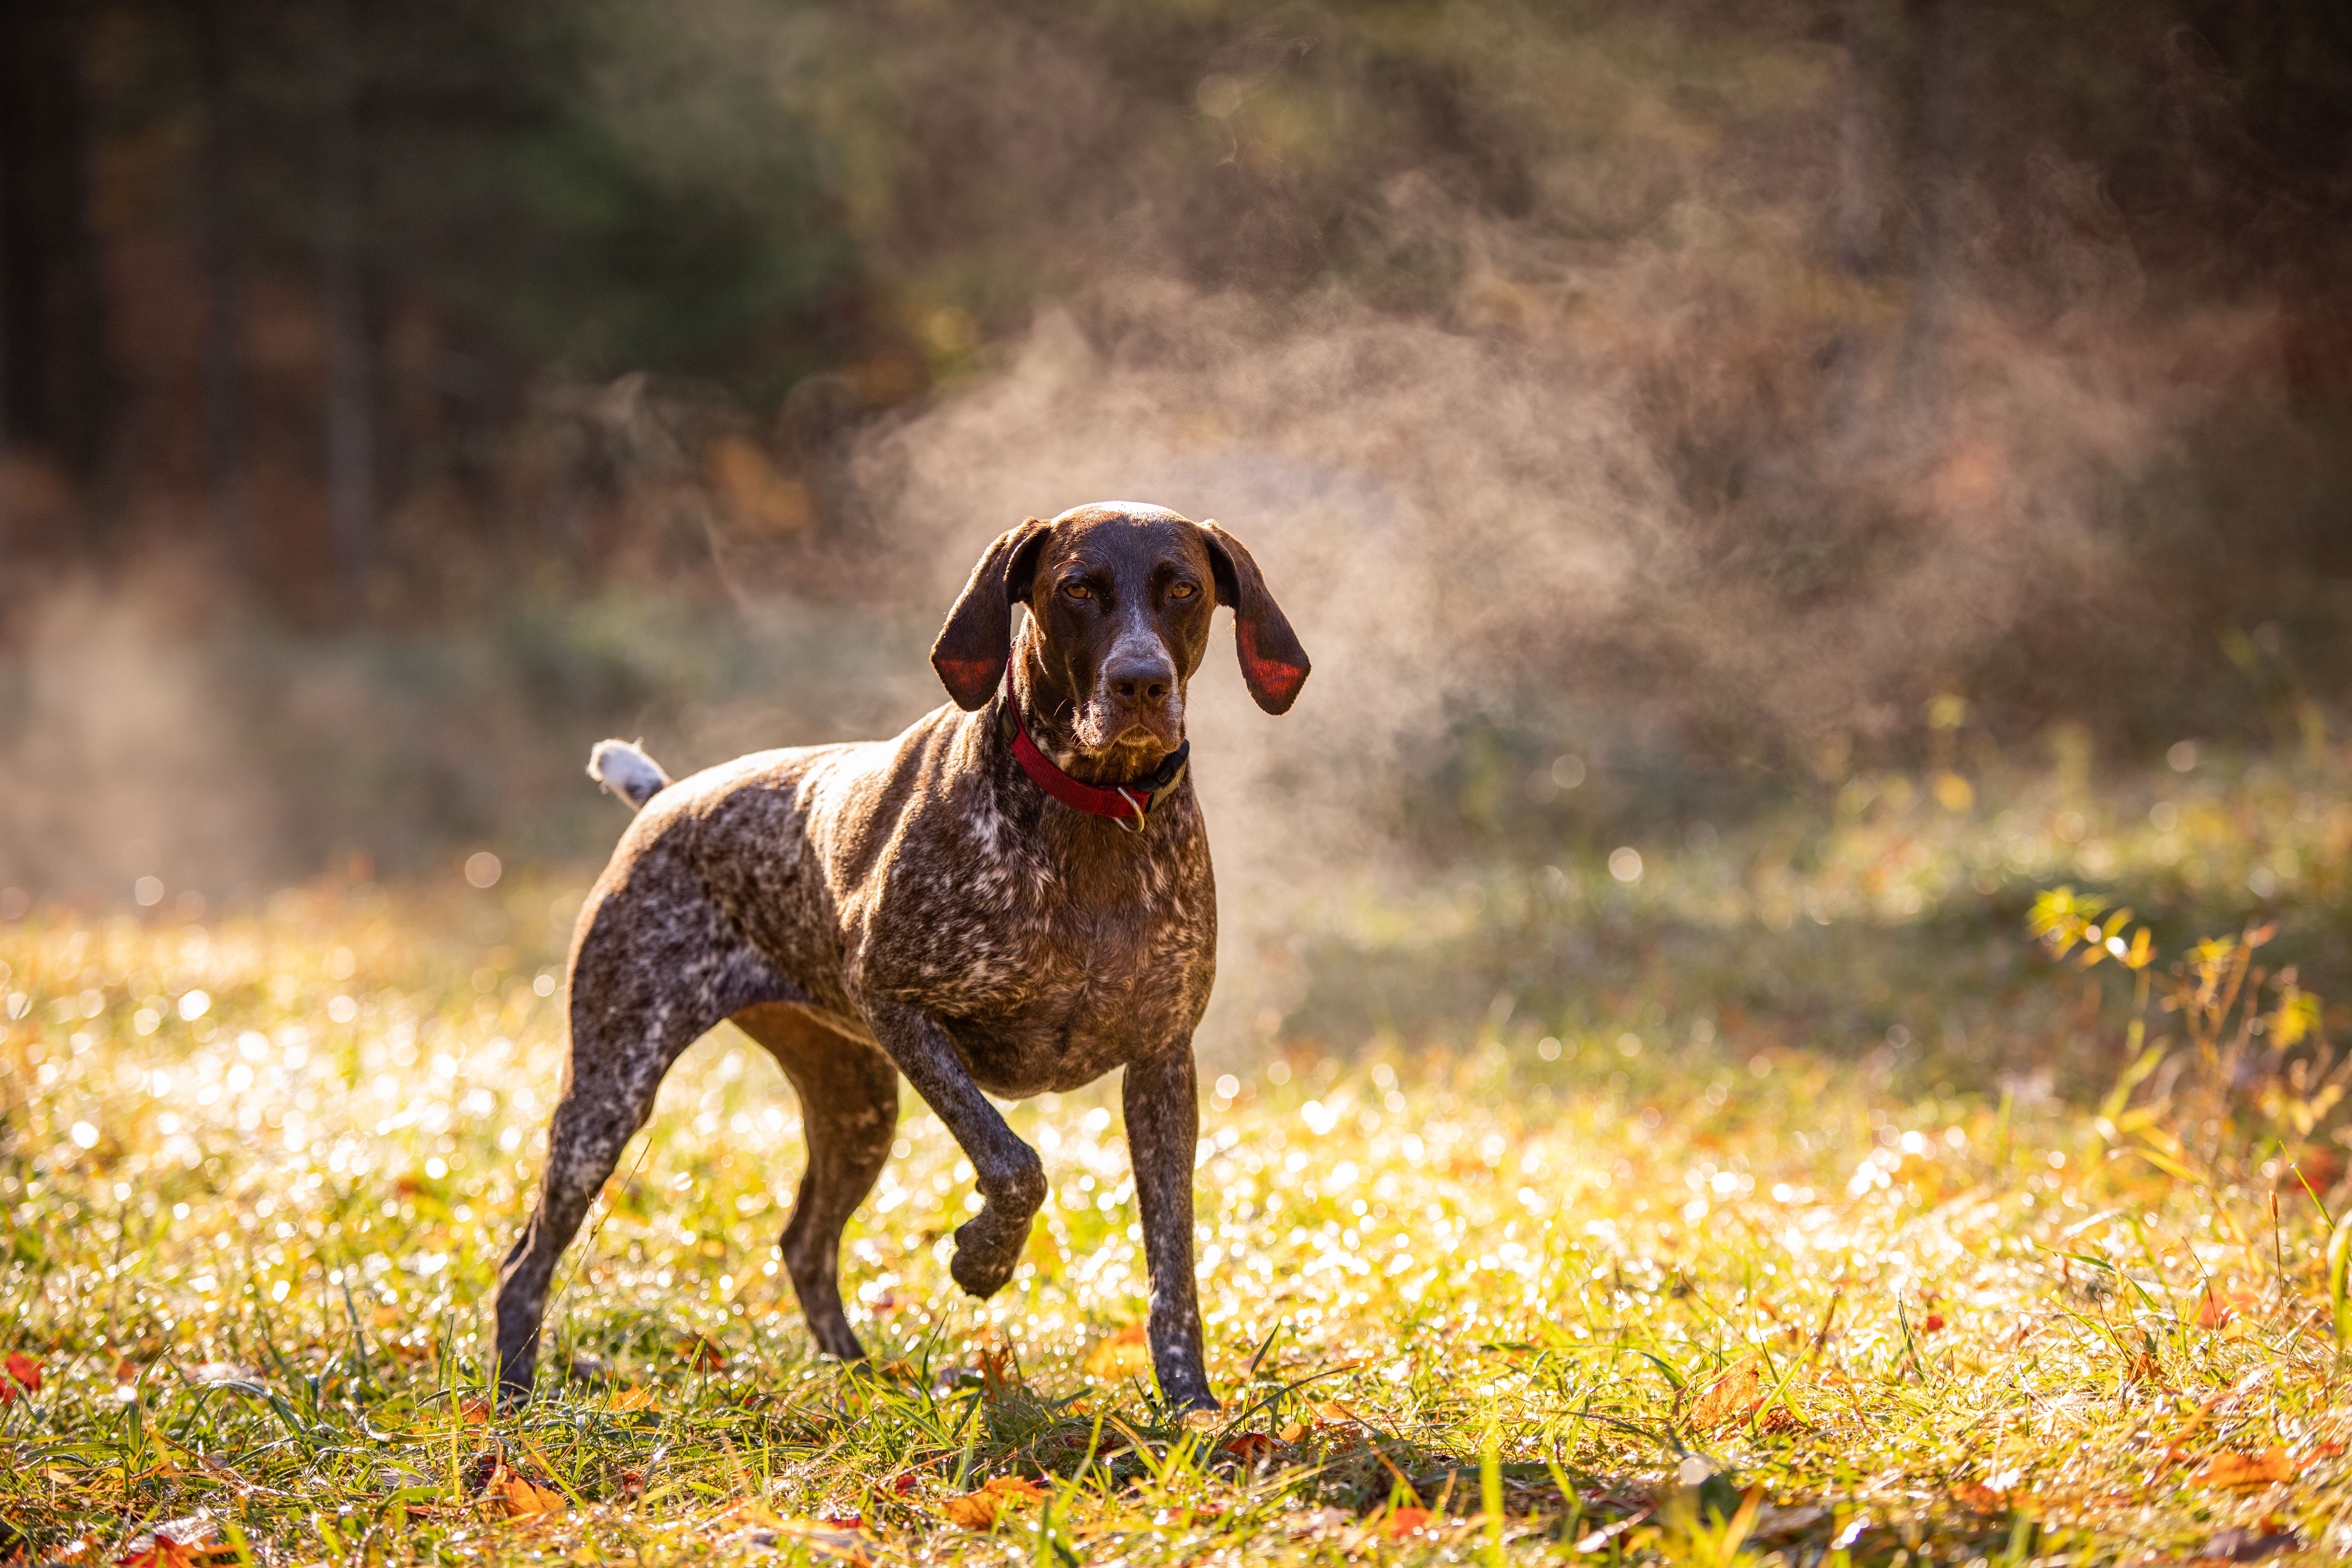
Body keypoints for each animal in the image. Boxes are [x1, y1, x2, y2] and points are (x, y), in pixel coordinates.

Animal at [491, 500, 1308, 1410]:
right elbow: (1016, 1164)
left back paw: (859, 1376)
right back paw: (517, 1392)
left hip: (857, 1109)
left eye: (1183, 589)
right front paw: (983, 1260)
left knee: (805, 1242)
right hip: (611, 1094)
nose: (1141, 683)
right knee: (524, 1263)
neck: (1095, 815)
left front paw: (1189, 1399)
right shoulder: (899, 1005)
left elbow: (1174, 1257)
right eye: (1077, 590)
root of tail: (666, 798)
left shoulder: (1163, 1067)